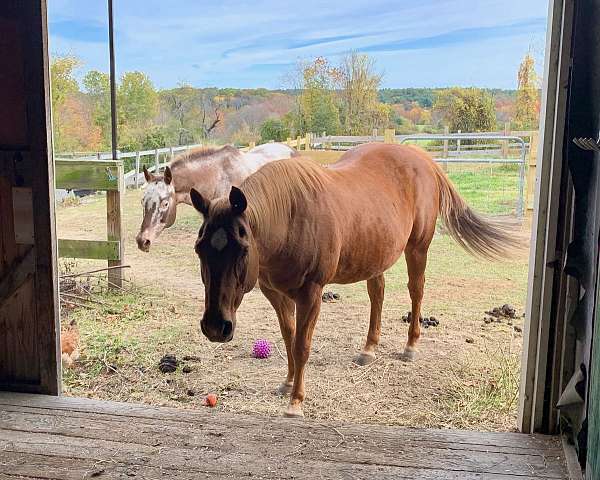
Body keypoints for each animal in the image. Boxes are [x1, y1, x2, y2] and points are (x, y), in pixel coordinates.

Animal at [191, 142, 516, 416]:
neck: (289, 219)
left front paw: (296, 402)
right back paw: (368, 349)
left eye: (242, 248)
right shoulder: (275, 293)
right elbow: (288, 337)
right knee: (377, 293)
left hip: (417, 248)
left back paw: (410, 347)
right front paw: (287, 383)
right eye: (199, 248)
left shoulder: (311, 293)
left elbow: (301, 345)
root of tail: (421, 157)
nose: (216, 327)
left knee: (416, 291)